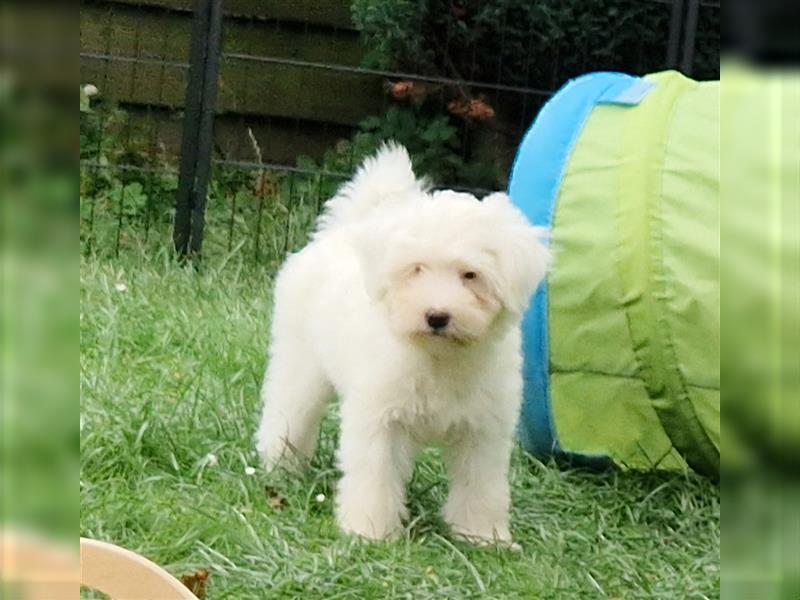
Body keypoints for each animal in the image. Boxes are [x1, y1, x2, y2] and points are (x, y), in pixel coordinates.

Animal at [256, 142, 552, 544]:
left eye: (471, 275)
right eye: (416, 269)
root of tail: (342, 232)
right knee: (287, 413)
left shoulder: (484, 430)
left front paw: (483, 537)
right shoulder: (379, 420)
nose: (437, 316)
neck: (438, 357)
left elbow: (482, 485)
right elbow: (375, 476)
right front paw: (370, 532)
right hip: (299, 363)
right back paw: (279, 467)